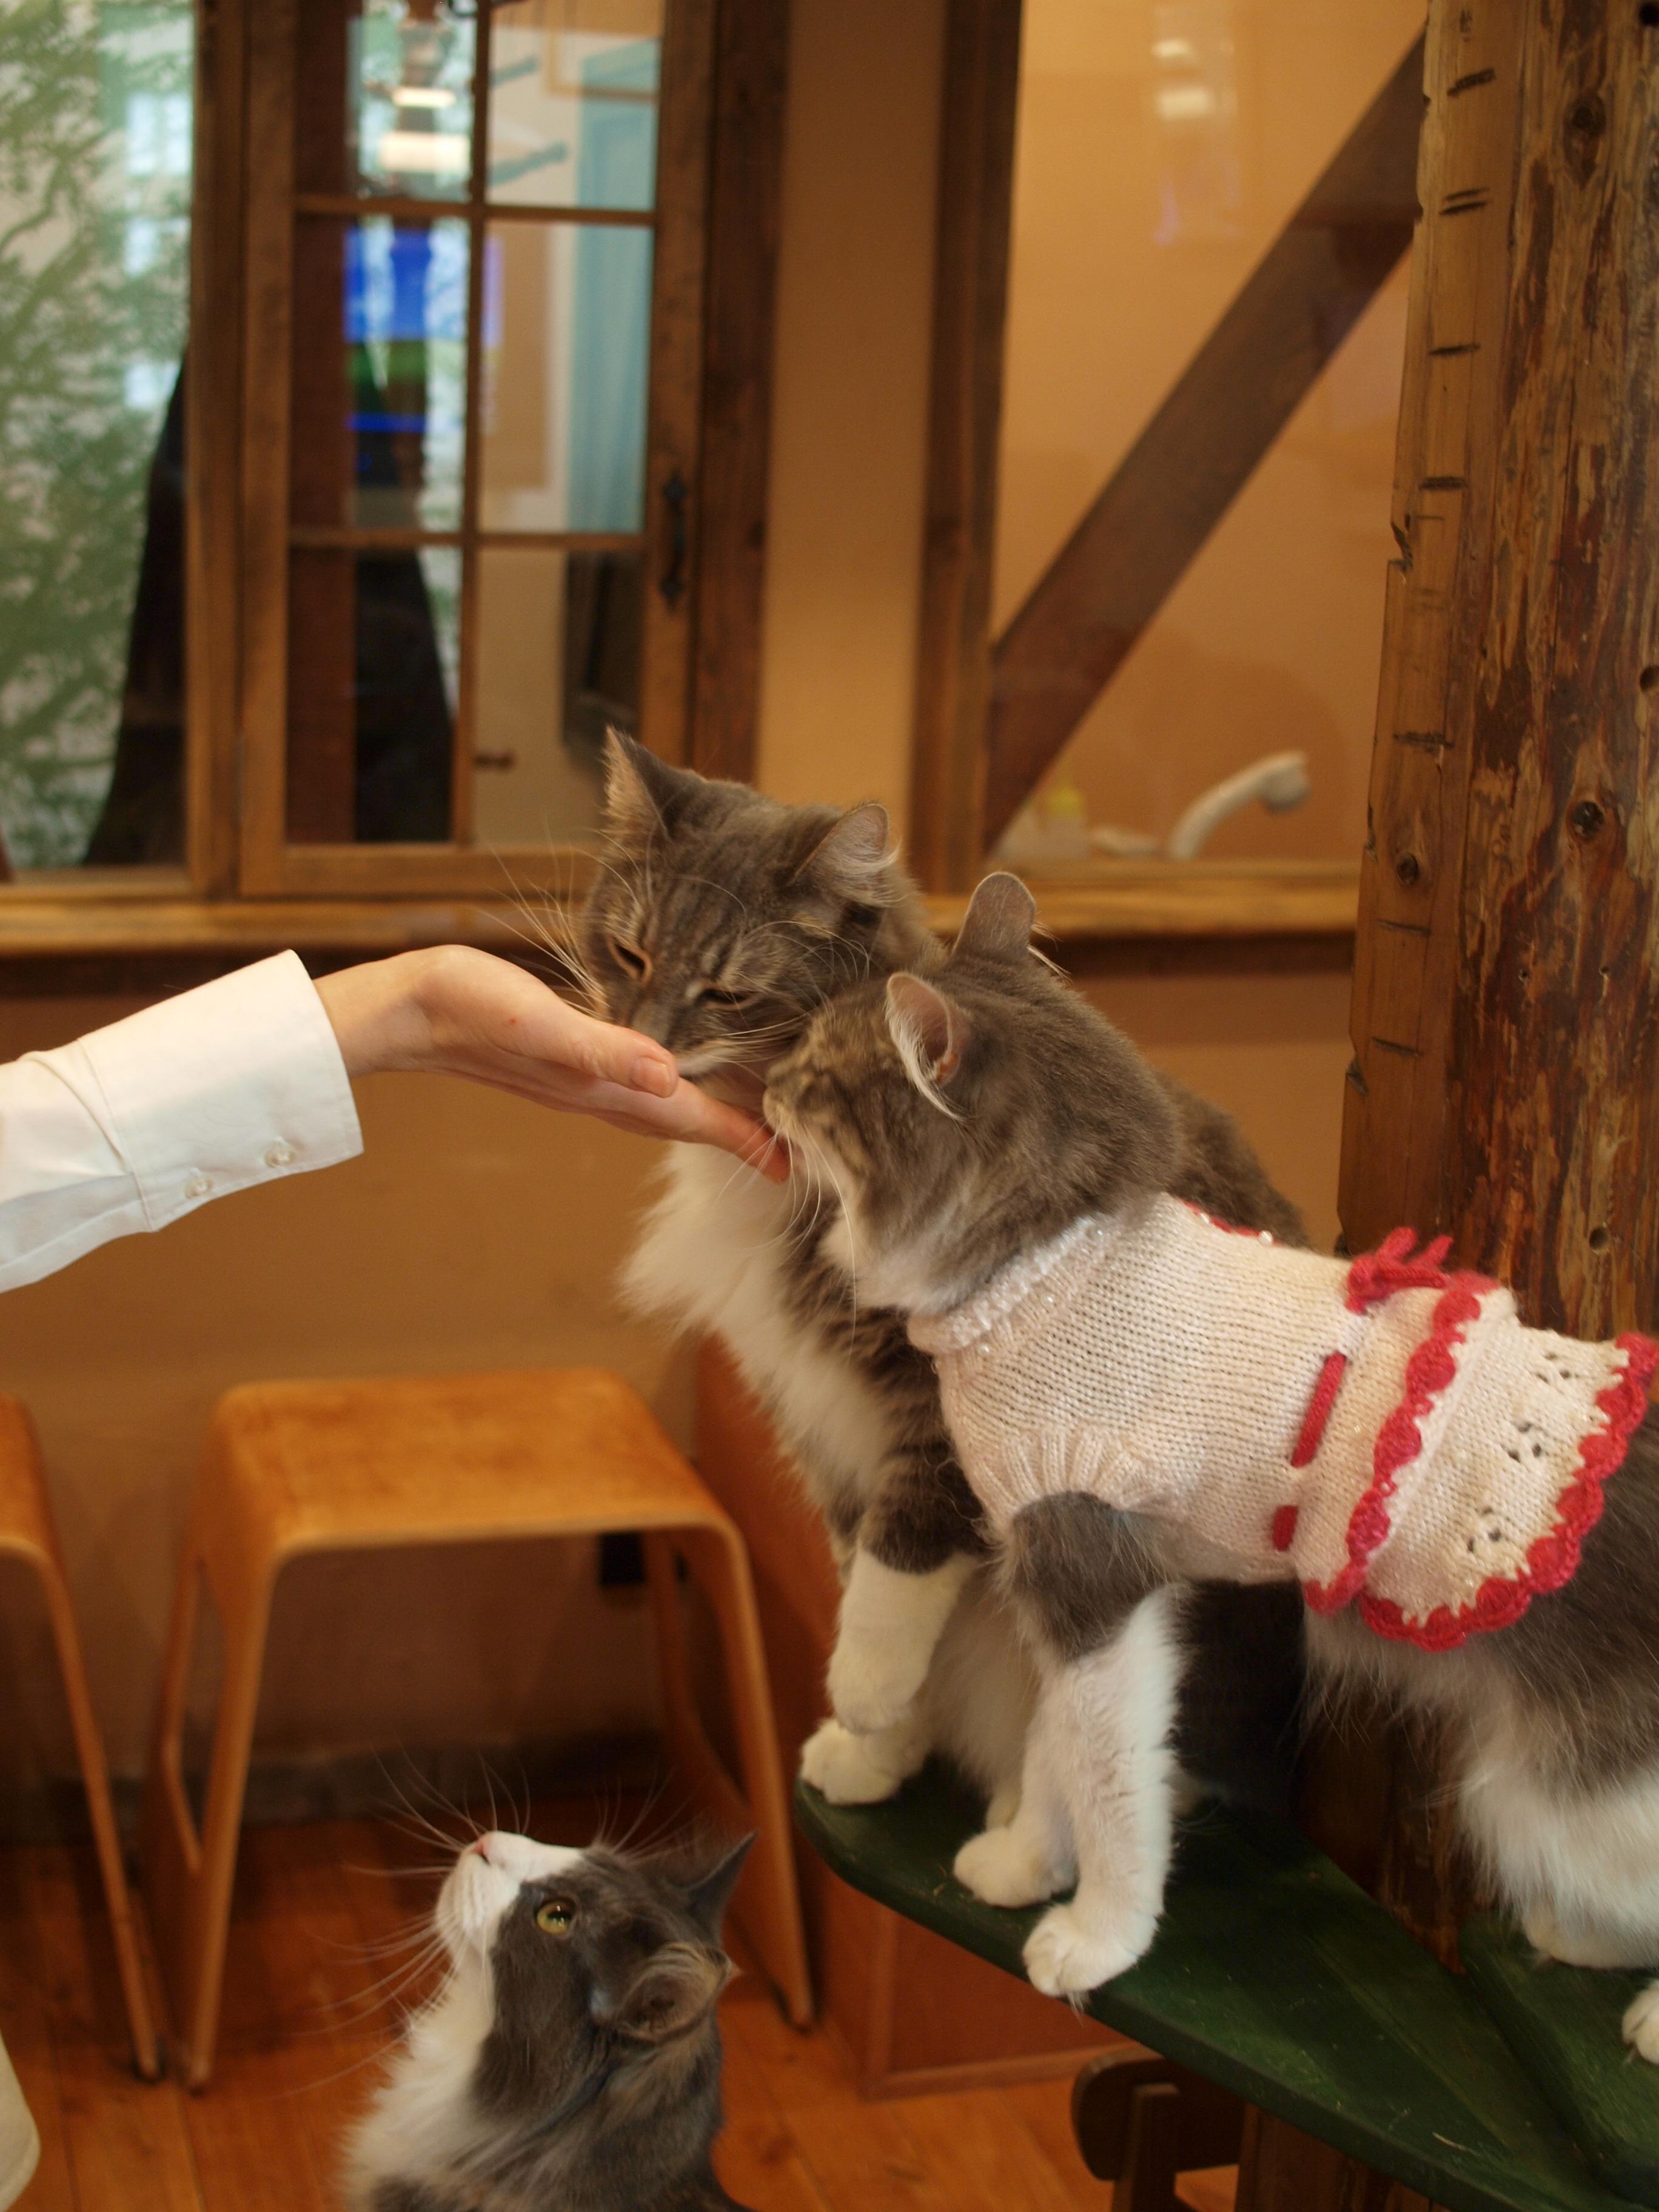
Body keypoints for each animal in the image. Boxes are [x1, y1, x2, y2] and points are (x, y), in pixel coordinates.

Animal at [579, 729, 1318, 1866]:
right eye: (629, 957)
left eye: (729, 995)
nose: (648, 1046)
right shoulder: (822, 1422)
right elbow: (858, 1570)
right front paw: (871, 1750)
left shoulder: (942, 1415)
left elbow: (897, 1577)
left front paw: (864, 1697)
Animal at [765, 867, 1659, 2053]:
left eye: (821, 1067)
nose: (768, 1083)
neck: (1053, 1262)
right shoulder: (1087, 1593)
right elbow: (1053, 1752)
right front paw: (1023, 1863)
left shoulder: (1088, 1575)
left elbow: (1112, 1785)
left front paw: (1097, 1934)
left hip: (1555, 1792)